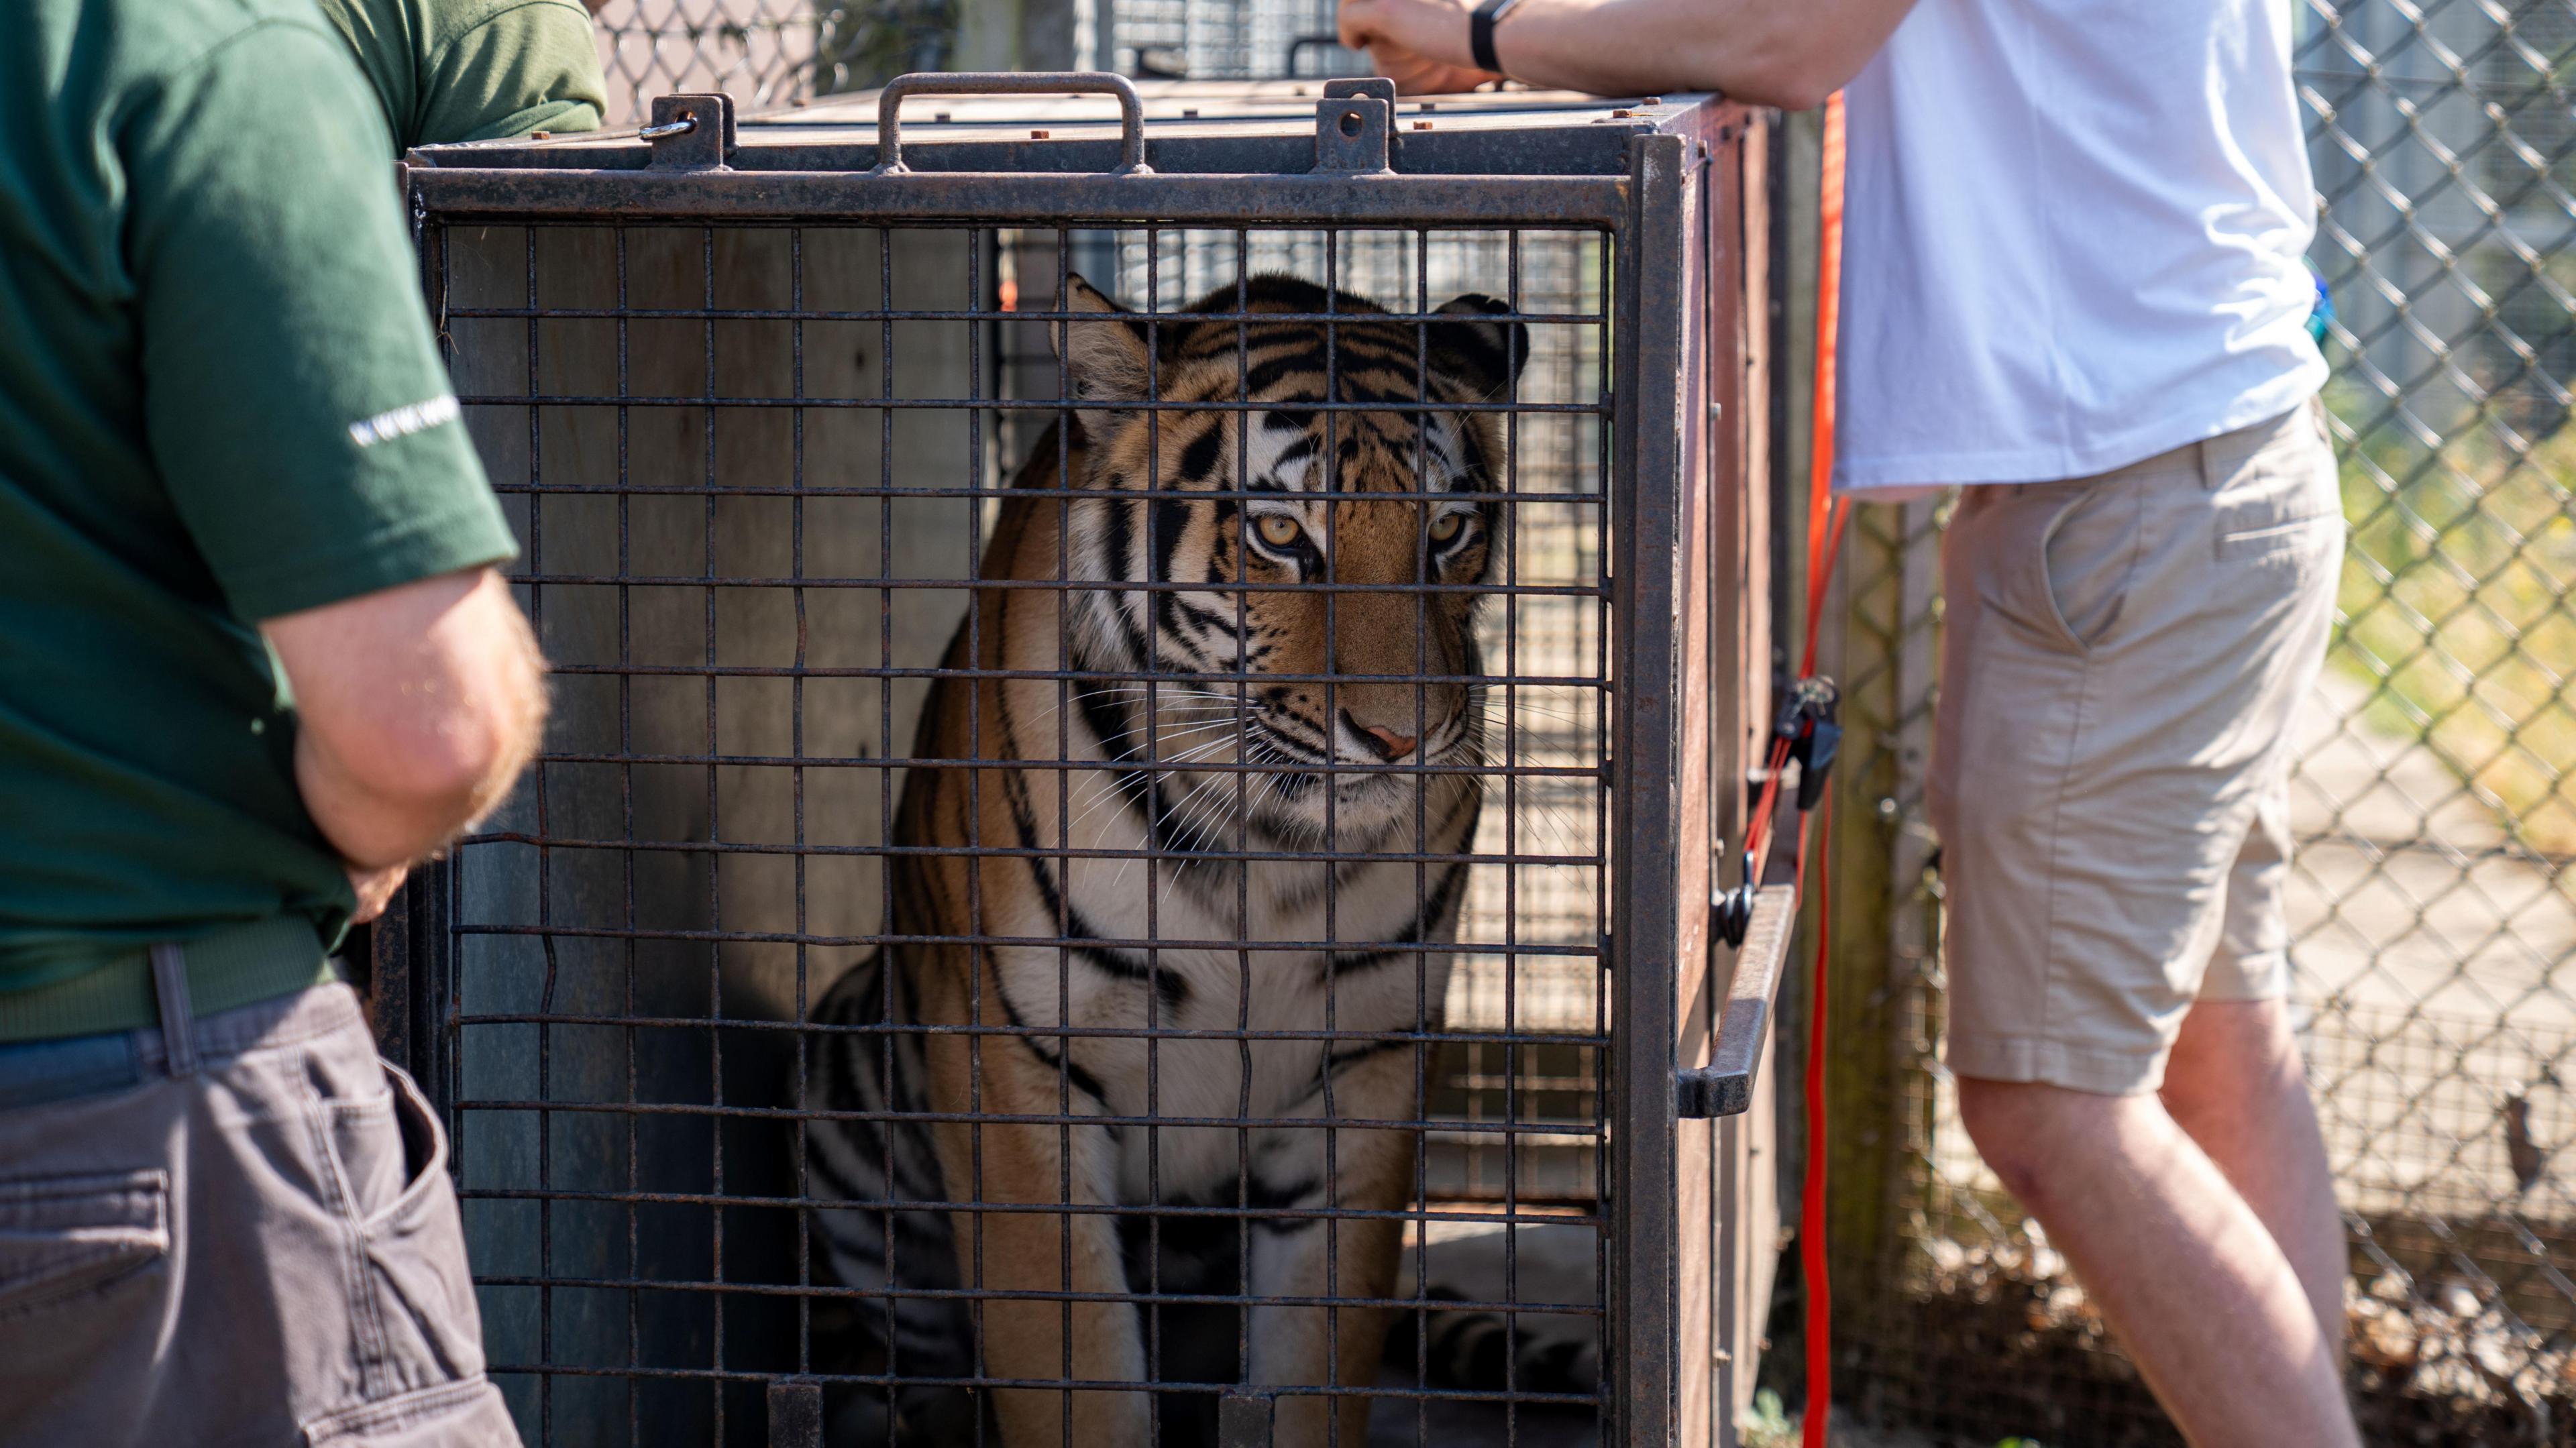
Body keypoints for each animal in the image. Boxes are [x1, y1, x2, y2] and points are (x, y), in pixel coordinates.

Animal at [802, 271, 1526, 1448]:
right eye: (1280, 532)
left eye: (1448, 529)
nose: (1401, 738)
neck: (1267, 851)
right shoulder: (1019, 1069)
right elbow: (1078, 1376)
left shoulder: (1367, 1066)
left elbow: (1315, 1369)